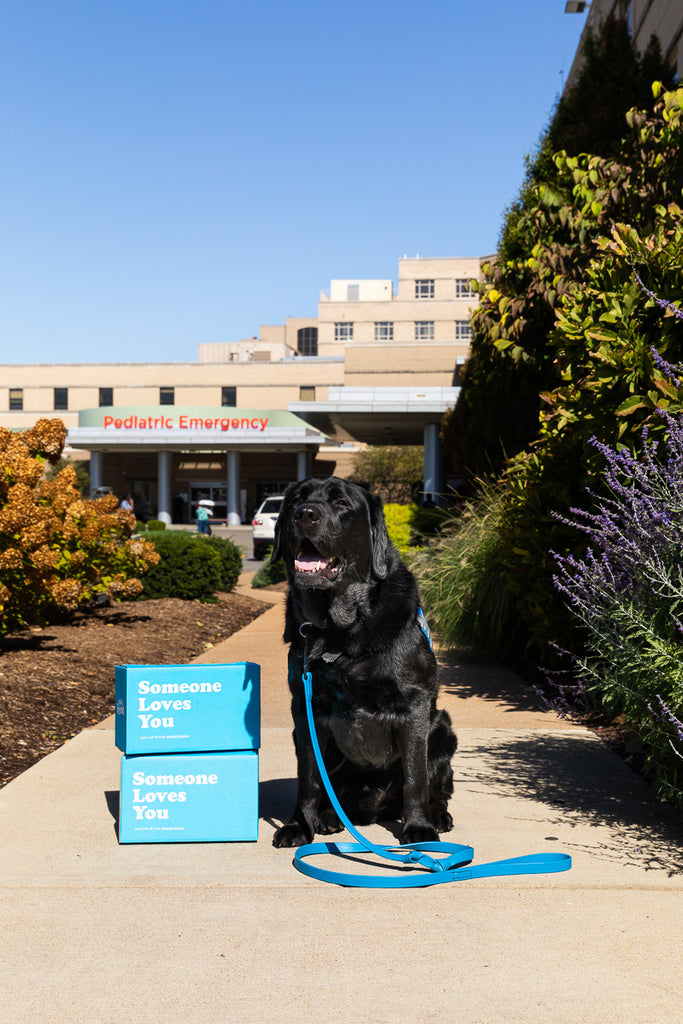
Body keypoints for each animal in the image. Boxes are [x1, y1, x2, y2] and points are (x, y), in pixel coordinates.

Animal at [270, 473, 456, 847]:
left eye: (342, 503)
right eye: (295, 500)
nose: (304, 514)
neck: (339, 633)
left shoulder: (414, 706)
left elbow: (416, 777)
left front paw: (418, 828)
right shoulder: (305, 710)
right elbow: (309, 779)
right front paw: (300, 825)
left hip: (443, 730)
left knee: (436, 788)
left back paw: (438, 816)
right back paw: (329, 817)